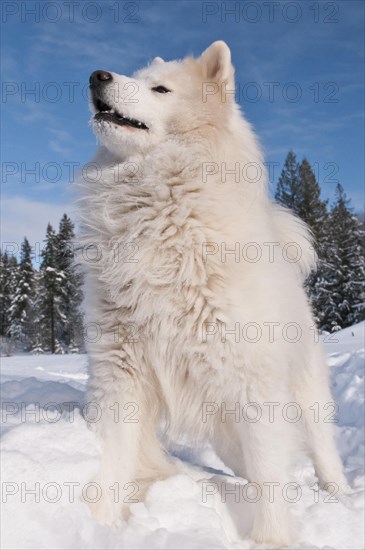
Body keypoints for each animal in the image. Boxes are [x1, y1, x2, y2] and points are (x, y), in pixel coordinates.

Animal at [78, 42, 346, 548]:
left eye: (160, 89)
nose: (96, 75)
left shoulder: (253, 386)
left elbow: (272, 476)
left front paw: (271, 540)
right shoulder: (121, 370)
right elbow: (115, 457)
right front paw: (97, 524)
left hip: (304, 395)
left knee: (320, 449)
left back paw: (339, 496)